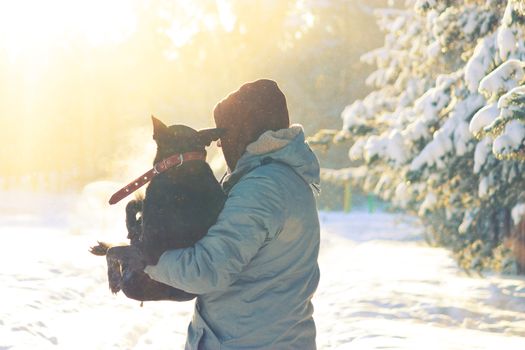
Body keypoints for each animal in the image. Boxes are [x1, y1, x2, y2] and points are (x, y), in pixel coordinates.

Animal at [91, 116, 225, 302]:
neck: (180, 162)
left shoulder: (151, 251)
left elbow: (113, 252)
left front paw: (113, 278)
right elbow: (131, 204)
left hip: (134, 280)